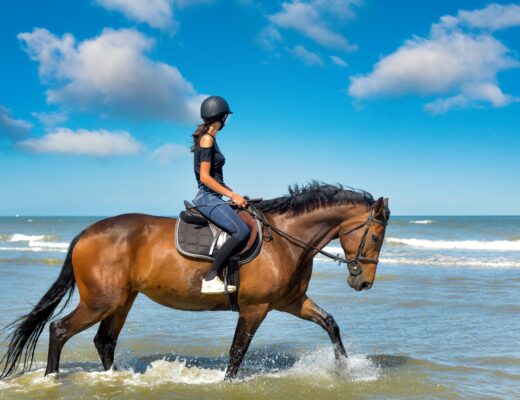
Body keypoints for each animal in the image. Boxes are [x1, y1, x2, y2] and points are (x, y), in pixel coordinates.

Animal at [0, 183, 390, 380]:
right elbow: (236, 353)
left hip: (121, 301)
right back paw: (51, 379)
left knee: (104, 341)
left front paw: (345, 369)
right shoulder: (255, 308)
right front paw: (227, 384)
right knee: (59, 329)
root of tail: (85, 233)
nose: (363, 284)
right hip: (101, 301)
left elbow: (330, 324)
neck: (284, 239)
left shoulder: (290, 302)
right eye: (375, 236)